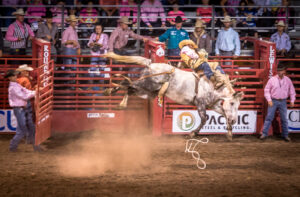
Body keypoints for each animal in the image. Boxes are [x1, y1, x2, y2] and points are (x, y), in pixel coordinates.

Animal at [103, 52, 244, 140]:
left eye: (238, 105)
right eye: (232, 103)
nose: (234, 121)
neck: (213, 86)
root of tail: (151, 63)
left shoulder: (214, 105)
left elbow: (224, 113)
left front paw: (229, 133)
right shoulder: (200, 104)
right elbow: (205, 119)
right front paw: (191, 134)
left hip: (147, 91)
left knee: (129, 88)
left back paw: (114, 95)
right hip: (147, 84)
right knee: (128, 84)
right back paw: (116, 98)